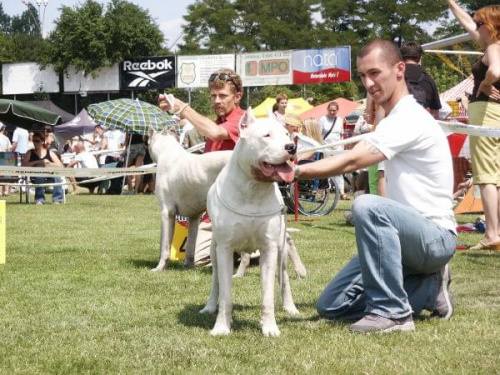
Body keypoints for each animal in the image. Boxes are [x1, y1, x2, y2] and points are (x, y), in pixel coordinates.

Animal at [147, 128, 231, 272]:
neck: (168, 152)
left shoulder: (167, 213)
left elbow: (164, 246)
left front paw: (160, 267)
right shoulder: (194, 217)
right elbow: (191, 246)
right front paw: (189, 267)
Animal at [200, 109, 300, 338]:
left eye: (286, 134)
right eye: (266, 136)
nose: (291, 147)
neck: (253, 188)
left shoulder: (269, 248)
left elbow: (268, 295)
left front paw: (269, 327)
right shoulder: (225, 248)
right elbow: (225, 294)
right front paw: (221, 326)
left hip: (281, 249)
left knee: (284, 277)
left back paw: (290, 307)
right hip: (214, 249)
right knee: (216, 281)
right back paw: (209, 306)